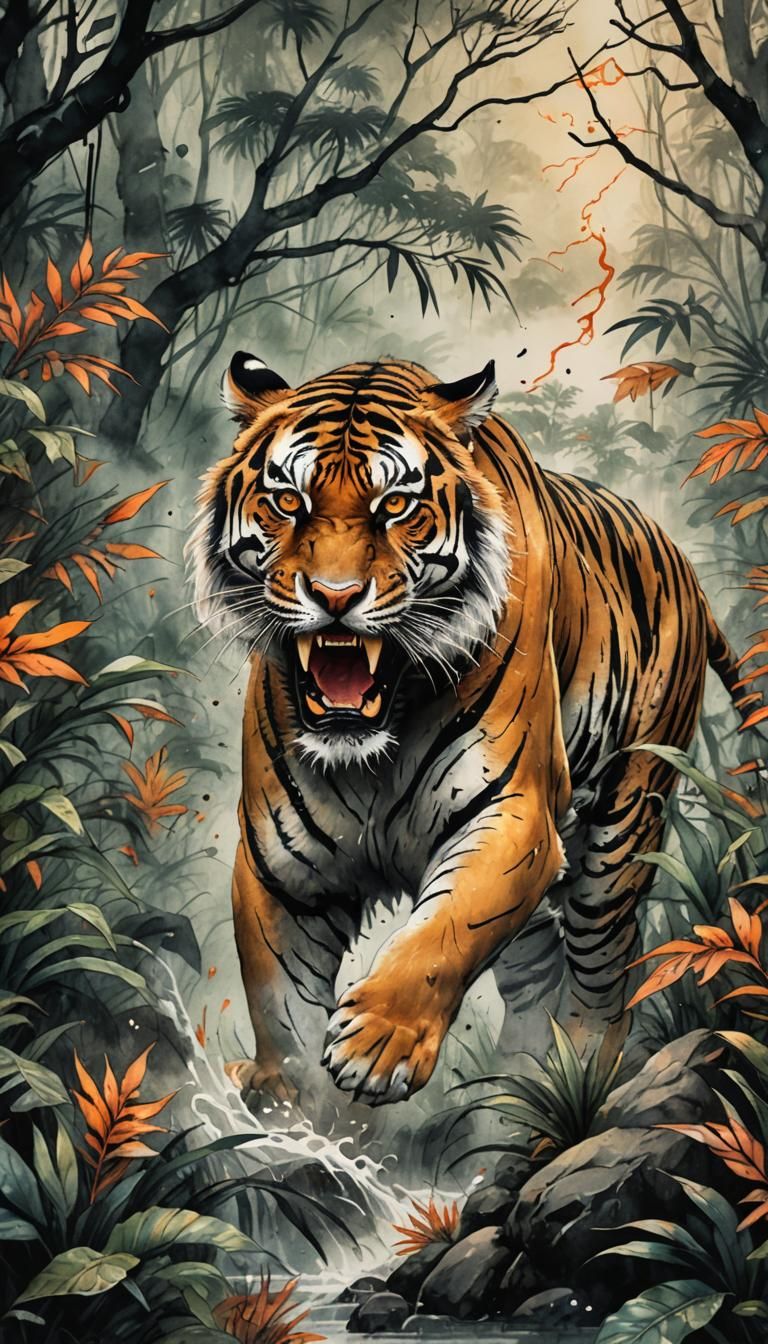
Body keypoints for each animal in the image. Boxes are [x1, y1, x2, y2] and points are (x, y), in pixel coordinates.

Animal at [191, 353, 743, 1109]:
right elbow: (280, 1002)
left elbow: (445, 932)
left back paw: (576, 1083)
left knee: (606, 972)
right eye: (288, 502)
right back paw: (517, 1081)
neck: (375, 742)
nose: (334, 596)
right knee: (539, 970)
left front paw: (377, 1044)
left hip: (623, 833)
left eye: (395, 506)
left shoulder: (515, 818)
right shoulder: (283, 868)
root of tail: (682, 562)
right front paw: (292, 1099)